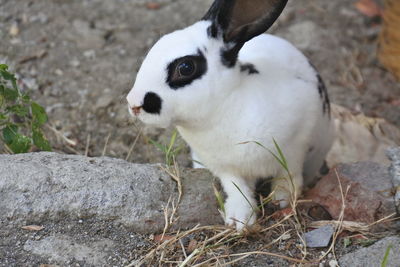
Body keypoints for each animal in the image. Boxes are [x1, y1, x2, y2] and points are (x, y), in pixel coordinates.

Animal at [127, 0, 334, 230]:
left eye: (186, 67)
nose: (133, 104)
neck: (223, 106)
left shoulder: (297, 144)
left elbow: (289, 173)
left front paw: (282, 198)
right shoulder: (224, 167)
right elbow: (236, 187)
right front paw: (239, 219)